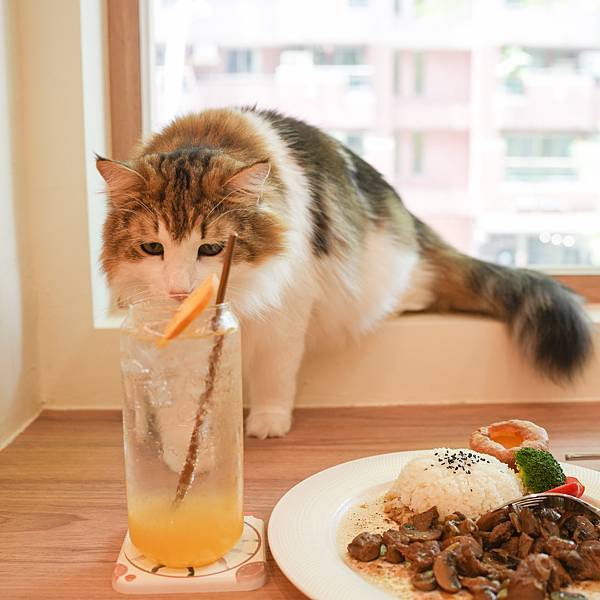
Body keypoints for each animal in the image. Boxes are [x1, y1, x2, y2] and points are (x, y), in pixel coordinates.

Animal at [97, 107, 593, 439]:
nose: (179, 290)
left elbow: (275, 374)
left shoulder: (288, 307)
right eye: (153, 248)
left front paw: (268, 422)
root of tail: (412, 220)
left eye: (212, 250)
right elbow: (185, 396)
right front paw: (185, 439)